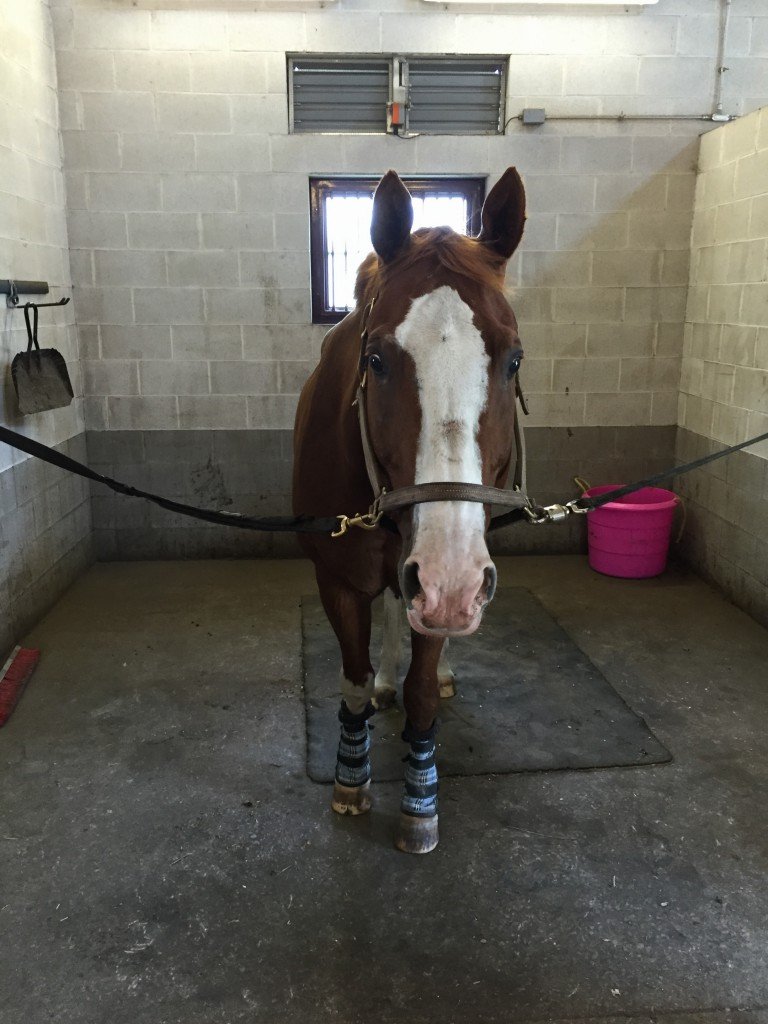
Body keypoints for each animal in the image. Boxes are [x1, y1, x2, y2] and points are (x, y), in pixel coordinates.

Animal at [290, 167, 528, 851]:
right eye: (375, 359)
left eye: (514, 359)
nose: (449, 581)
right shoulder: (339, 580)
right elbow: (351, 678)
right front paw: (351, 777)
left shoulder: (443, 584)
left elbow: (422, 691)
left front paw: (420, 801)